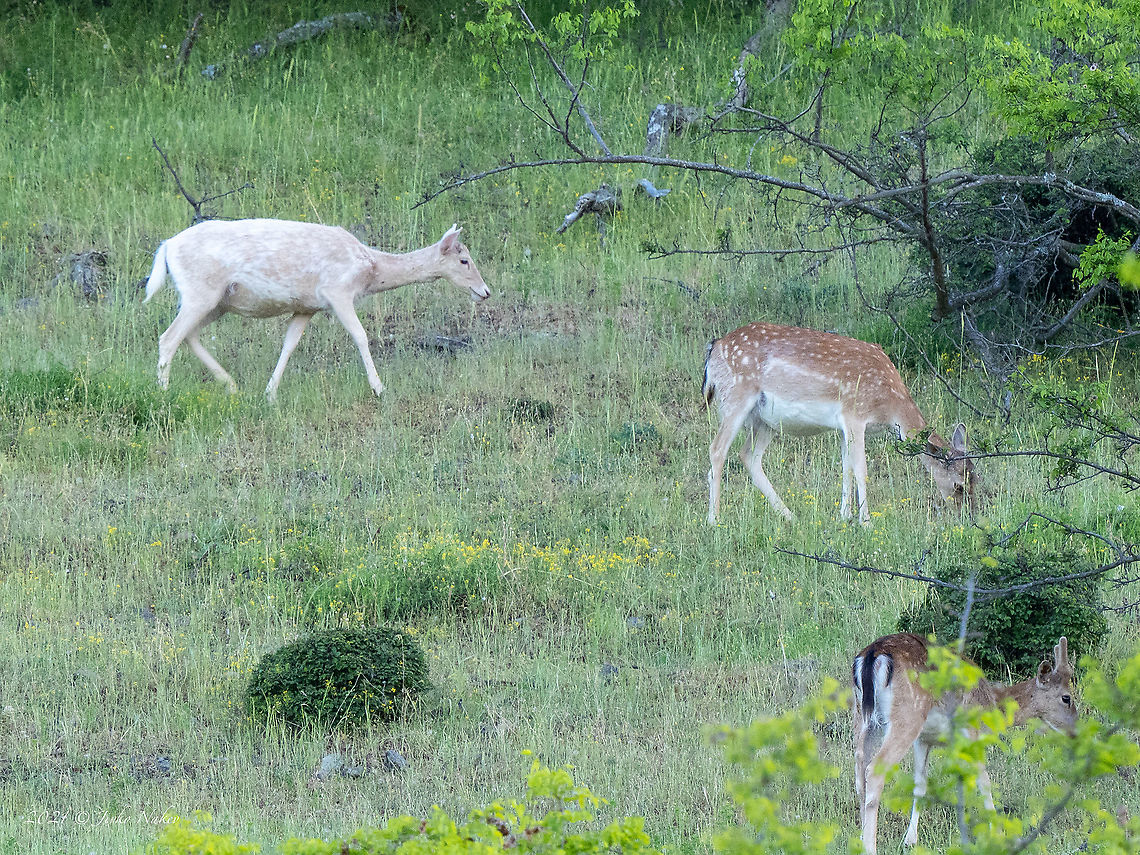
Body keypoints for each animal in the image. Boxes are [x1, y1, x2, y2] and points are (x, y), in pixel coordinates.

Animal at [143, 219, 490, 401]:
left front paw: (270, 393)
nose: (485, 291)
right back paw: (163, 391)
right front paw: (379, 388)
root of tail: (166, 247)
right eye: (464, 260)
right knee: (169, 337)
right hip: (200, 292)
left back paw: (230, 384)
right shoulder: (337, 291)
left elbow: (289, 344)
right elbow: (360, 335)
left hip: (216, 302)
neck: (370, 269)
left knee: (189, 335)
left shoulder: (307, 306)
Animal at [702, 322, 976, 525]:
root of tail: (715, 348)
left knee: (748, 455)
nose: (967, 517)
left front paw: (844, 516)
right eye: (959, 486)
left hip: (766, 420)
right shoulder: (854, 415)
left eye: (977, 479)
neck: (890, 406)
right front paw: (866, 522)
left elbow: (846, 467)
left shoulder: (844, 427)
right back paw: (714, 520)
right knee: (717, 449)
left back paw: (790, 516)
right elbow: (861, 469)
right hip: (737, 396)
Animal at [853, 632, 1076, 855]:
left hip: (862, 716)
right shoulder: (970, 732)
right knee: (875, 769)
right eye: (1067, 698)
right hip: (908, 715)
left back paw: (861, 837)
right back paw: (870, 847)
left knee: (860, 768)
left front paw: (911, 840)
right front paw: (996, 834)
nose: (1074, 732)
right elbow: (983, 782)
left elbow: (921, 784)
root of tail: (873, 654)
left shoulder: (924, 739)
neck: (991, 704)